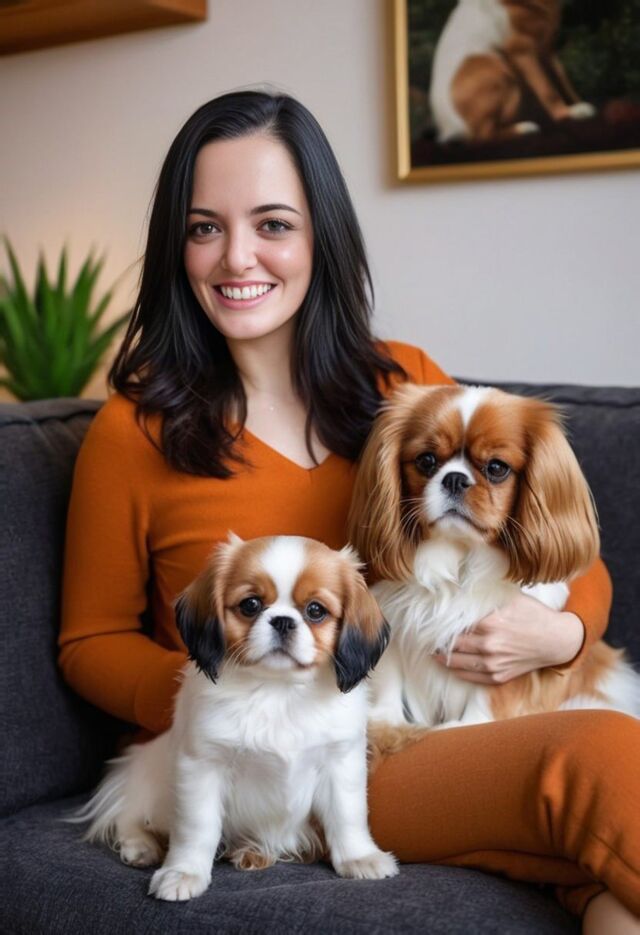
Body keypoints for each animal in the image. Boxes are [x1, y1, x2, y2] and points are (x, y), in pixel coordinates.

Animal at [72, 534, 397, 901]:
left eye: (316, 611)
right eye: (250, 605)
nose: (282, 620)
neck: (277, 692)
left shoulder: (341, 763)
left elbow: (347, 816)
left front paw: (359, 857)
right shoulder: (203, 767)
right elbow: (197, 827)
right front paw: (183, 872)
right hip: (148, 786)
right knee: (129, 816)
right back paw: (141, 847)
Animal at [348, 384, 640, 729]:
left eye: (497, 468)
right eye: (426, 461)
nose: (455, 478)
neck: (460, 557)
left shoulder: (510, 651)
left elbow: (493, 692)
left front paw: (470, 724)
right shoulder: (392, 623)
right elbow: (388, 677)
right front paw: (387, 720)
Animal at [430, 0, 596, 143]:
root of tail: (447, 130)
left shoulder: (547, 50)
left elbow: (564, 82)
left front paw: (578, 104)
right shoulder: (522, 51)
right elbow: (548, 90)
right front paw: (568, 114)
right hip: (496, 67)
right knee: (482, 135)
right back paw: (525, 128)